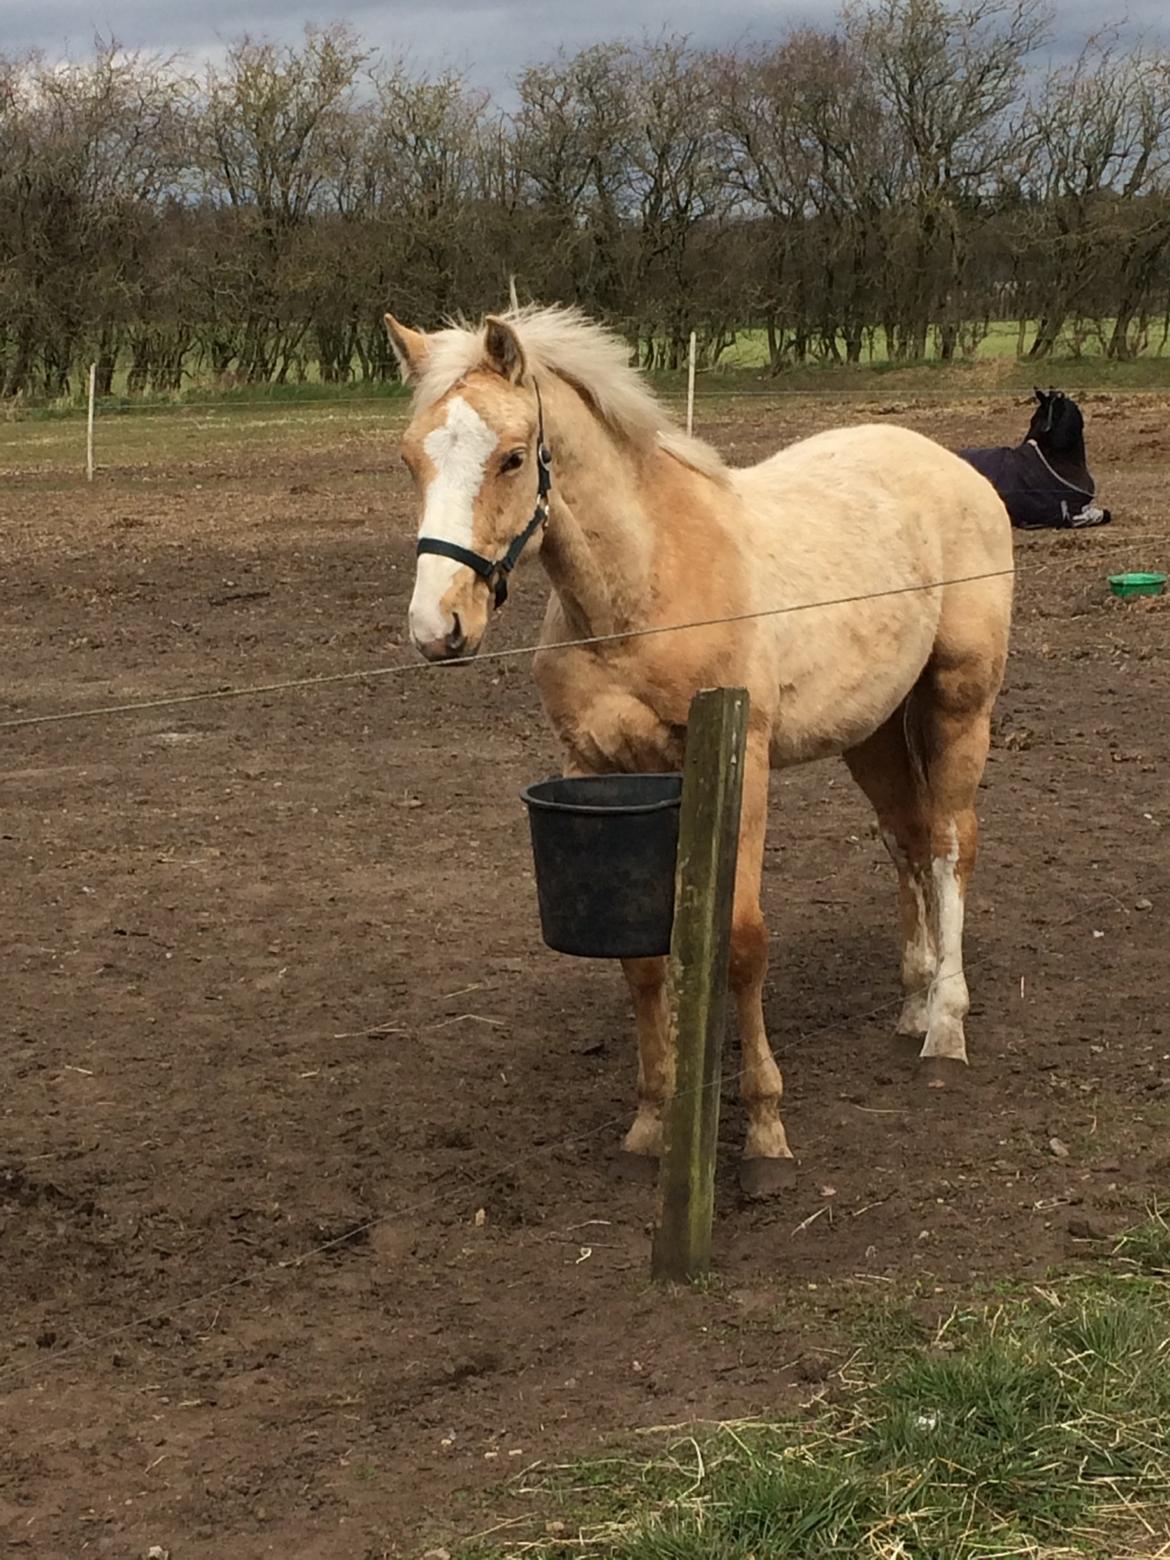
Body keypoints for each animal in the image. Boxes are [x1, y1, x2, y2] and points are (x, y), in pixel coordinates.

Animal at [390, 304, 1010, 1191]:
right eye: (411, 458)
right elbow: (644, 960)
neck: (642, 589)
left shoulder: (741, 766)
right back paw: (914, 998)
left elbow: (743, 942)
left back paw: (946, 1028)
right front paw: (655, 1116)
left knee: (954, 843)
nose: (437, 628)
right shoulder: (602, 773)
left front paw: (764, 1128)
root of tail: (951, 466)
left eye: (511, 457)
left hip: (959, 703)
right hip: (873, 730)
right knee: (909, 838)